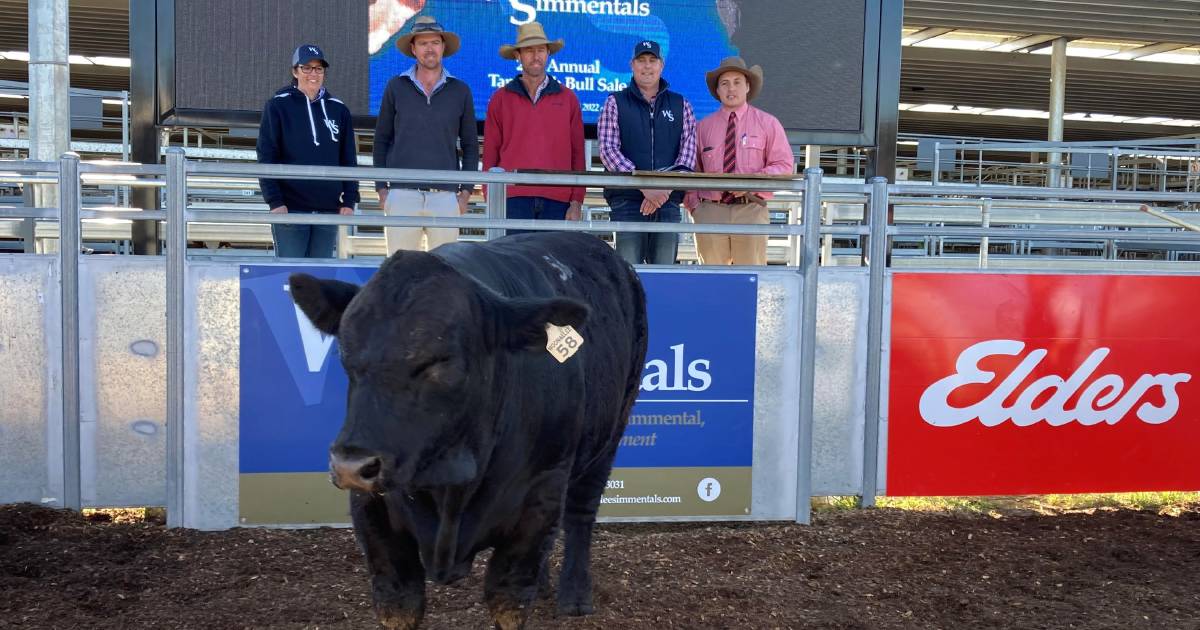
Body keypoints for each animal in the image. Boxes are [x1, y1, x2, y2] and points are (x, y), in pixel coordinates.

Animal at [288, 230, 648, 628]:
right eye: (345, 356)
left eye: (440, 362)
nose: (351, 466)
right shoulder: (372, 515)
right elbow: (400, 603)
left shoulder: (540, 499)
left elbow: (509, 601)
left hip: (610, 436)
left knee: (581, 515)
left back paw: (575, 595)